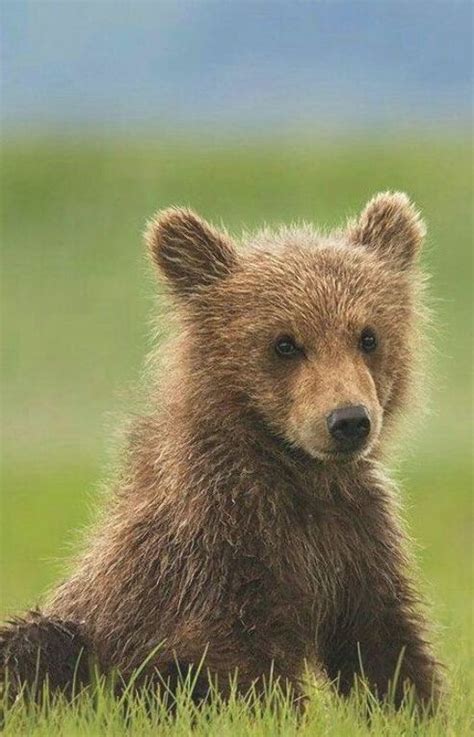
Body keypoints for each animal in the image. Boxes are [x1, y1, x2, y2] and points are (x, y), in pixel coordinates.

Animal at [1, 193, 442, 712]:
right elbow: (244, 661)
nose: (349, 420)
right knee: (38, 645)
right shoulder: (217, 550)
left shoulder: (356, 539)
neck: (298, 476)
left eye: (368, 336)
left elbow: (385, 647)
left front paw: (411, 707)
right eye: (285, 343)